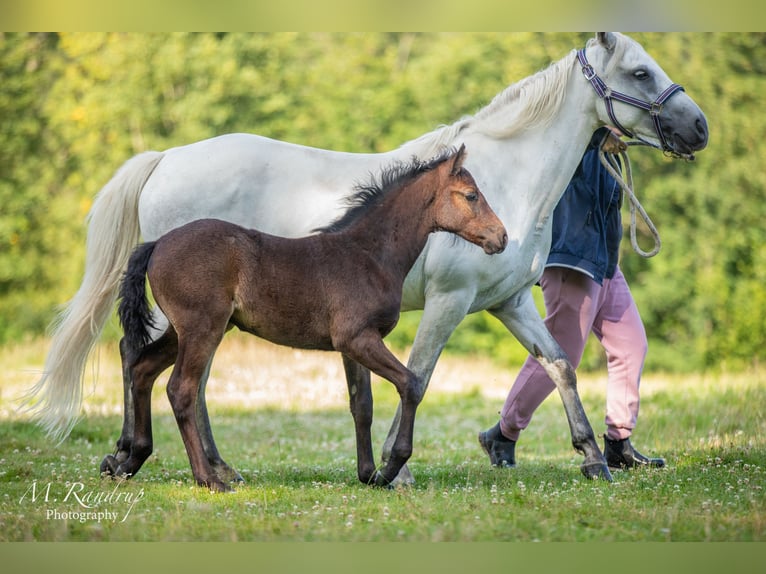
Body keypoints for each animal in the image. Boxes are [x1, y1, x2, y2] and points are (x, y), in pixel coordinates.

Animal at [27, 33, 712, 484]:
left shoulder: (511, 303)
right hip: (200, 318)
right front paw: (393, 466)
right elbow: (420, 375)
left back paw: (165, 460)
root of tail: (166, 157)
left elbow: (560, 366)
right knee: (161, 371)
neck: (509, 178)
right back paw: (172, 462)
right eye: (640, 73)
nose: (699, 128)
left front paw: (594, 458)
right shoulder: (449, 303)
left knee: (157, 369)